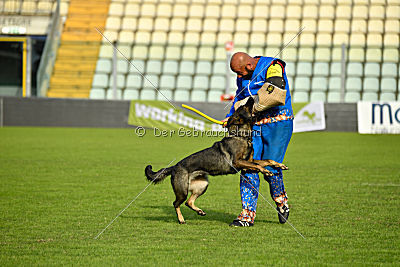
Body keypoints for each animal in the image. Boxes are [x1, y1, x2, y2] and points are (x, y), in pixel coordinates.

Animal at [145, 97, 288, 225]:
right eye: (244, 106)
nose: (251, 97)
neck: (241, 136)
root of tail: (174, 166)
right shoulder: (237, 162)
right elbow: (258, 165)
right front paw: (266, 171)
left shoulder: (248, 163)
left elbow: (267, 160)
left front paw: (279, 165)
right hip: (183, 190)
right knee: (176, 203)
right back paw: (181, 219)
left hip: (202, 185)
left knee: (188, 202)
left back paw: (199, 211)